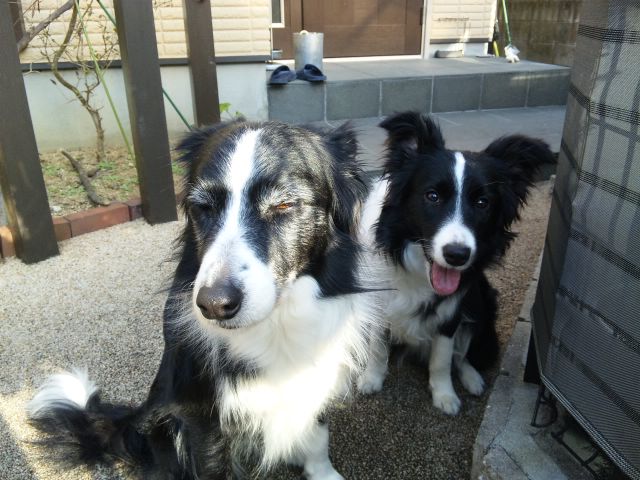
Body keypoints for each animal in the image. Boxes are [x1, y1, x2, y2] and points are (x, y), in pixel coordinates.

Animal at [27, 119, 381, 479]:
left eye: (283, 205)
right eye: (203, 208)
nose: (214, 305)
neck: (275, 325)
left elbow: (318, 438)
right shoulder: (201, 414)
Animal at [356, 112, 554, 415]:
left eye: (483, 202)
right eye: (432, 196)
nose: (457, 255)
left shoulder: (453, 311)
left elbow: (442, 358)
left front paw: (444, 396)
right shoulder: (379, 303)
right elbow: (377, 347)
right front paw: (372, 379)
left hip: (482, 302)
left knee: (461, 356)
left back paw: (472, 378)